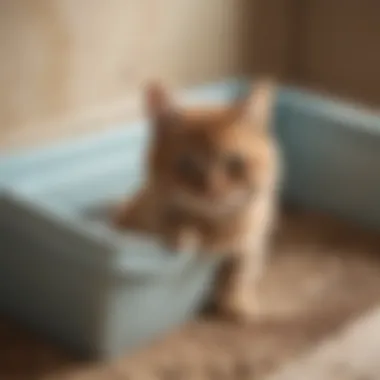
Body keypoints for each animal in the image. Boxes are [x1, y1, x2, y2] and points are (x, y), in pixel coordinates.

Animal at [114, 78, 280, 322]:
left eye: (234, 163)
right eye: (186, 164)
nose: (212, 190)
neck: (213, 225)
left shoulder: (252, 242)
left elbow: (241, 272)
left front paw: (237, 302)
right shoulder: (143, 219)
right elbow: (171, 221)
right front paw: (185, 234)